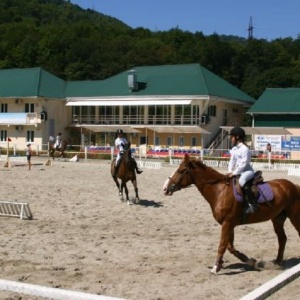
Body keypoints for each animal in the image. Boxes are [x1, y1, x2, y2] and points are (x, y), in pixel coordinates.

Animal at [163, 155, 300, 274]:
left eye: (180, 171)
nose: (165, 189)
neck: (220, 191)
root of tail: (294, 185)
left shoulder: (227, 223)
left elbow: (223, 245)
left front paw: (215, 267)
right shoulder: (230, 224)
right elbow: (230, 247)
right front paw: (250, 261)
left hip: (294, 217)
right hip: (277, 219)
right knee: (282, 239)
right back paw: (277, 263)